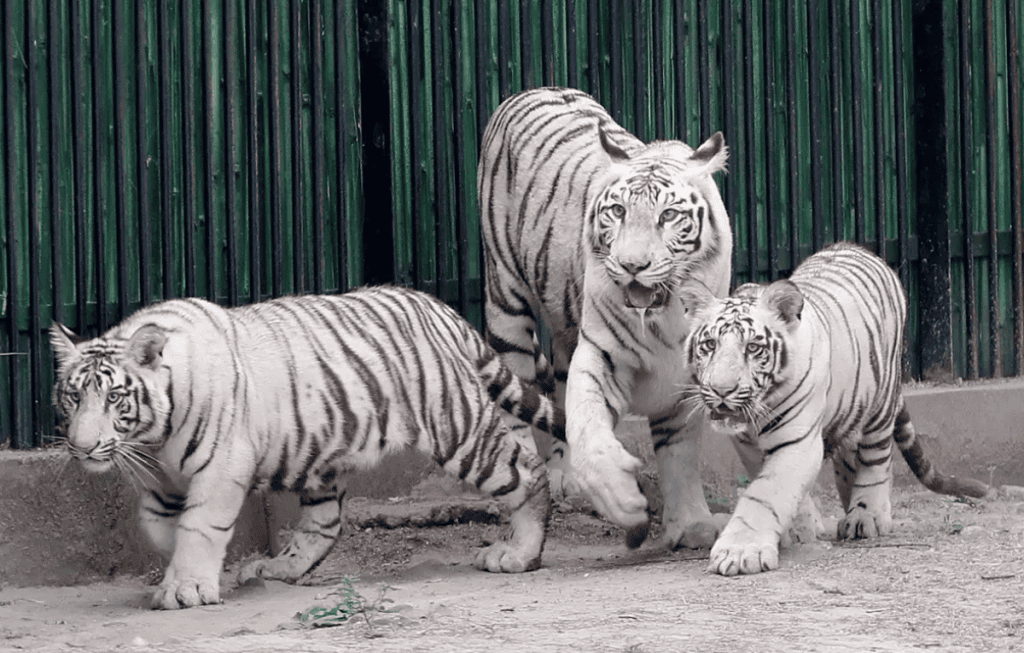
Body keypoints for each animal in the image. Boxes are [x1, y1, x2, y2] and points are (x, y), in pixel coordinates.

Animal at [50, 285, 564, 610]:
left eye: (113, 398)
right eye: (73, 396)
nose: (82, 446)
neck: (153, 439)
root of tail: (438, 307)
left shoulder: (221, 466)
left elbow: (200, 527)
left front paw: (187, 589)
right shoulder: (160, 479)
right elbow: (160, 528)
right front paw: (183, 569)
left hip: (459, 428)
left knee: (527, 473)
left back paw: (520, 554)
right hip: (318, 456)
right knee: (325, 523)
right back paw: (278, 569)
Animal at [478, 86, 733, 549]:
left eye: (669, 216)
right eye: (617, 211)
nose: (632, 265)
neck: (665, 313)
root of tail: (533, 90)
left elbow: (681, 452)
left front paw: (691, 523)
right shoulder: (602, 353)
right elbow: (590, 430)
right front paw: (622, 500)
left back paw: (563, 475)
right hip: (505, 295)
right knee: (518, 392)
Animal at [678, 242, 990, 576]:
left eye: (753, 348)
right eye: (709, 345)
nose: (722, 390)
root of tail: (854, 247)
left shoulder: (797, 440)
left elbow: (765, 493)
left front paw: (739, 551)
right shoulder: (747, 445)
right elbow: (783, 488)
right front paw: (800, 529)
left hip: (881, 403)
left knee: (877, 460)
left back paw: (866, 516)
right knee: (849, 457)